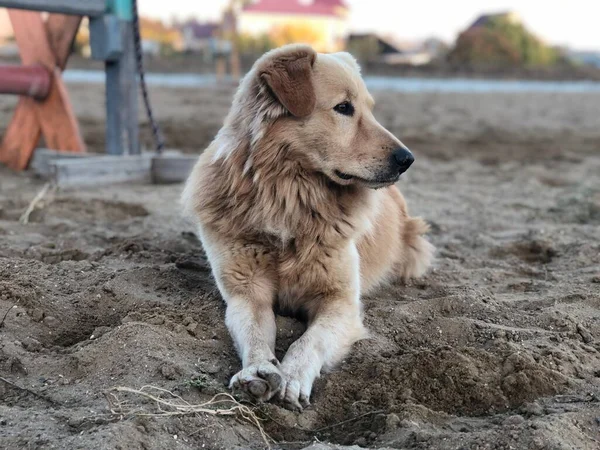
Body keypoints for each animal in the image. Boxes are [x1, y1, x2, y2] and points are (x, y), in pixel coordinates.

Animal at [180, 44, 434, 410]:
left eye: (370, 109)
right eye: (344, 108)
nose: (407, 159)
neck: (290, 200)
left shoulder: (340, 303)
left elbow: (308, 341)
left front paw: (293, 376)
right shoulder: (246, 294)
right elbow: (255, 332)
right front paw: (257, 371)